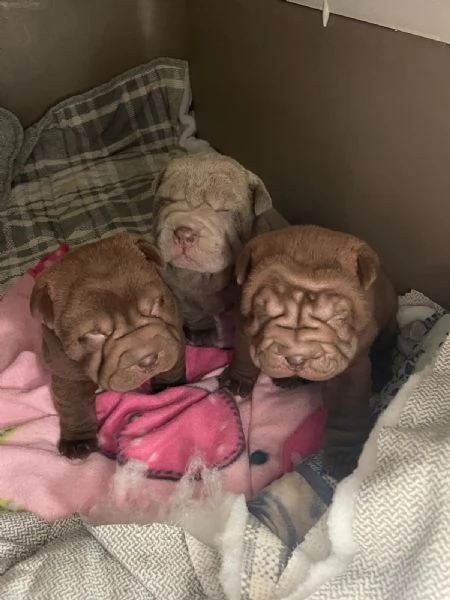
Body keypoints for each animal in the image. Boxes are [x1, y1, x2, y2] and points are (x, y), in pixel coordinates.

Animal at [29, 234, 185, 460]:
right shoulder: (67, 373)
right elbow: (74, 408)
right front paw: (77, 442)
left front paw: (171, 391)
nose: (148, 359)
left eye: (155, 305)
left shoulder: (173, 334)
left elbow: (172, 368)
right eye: (95, 333)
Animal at [220, 224, 400, 478]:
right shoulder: (244, 324)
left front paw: (344, 457)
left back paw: (382, 373)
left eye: (336, 318)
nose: (297, 358)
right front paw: (236, 381)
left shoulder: (352, 364)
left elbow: (347, 408)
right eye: (265, 312)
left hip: (388, 318)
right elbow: (244, 355)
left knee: (387, 343)